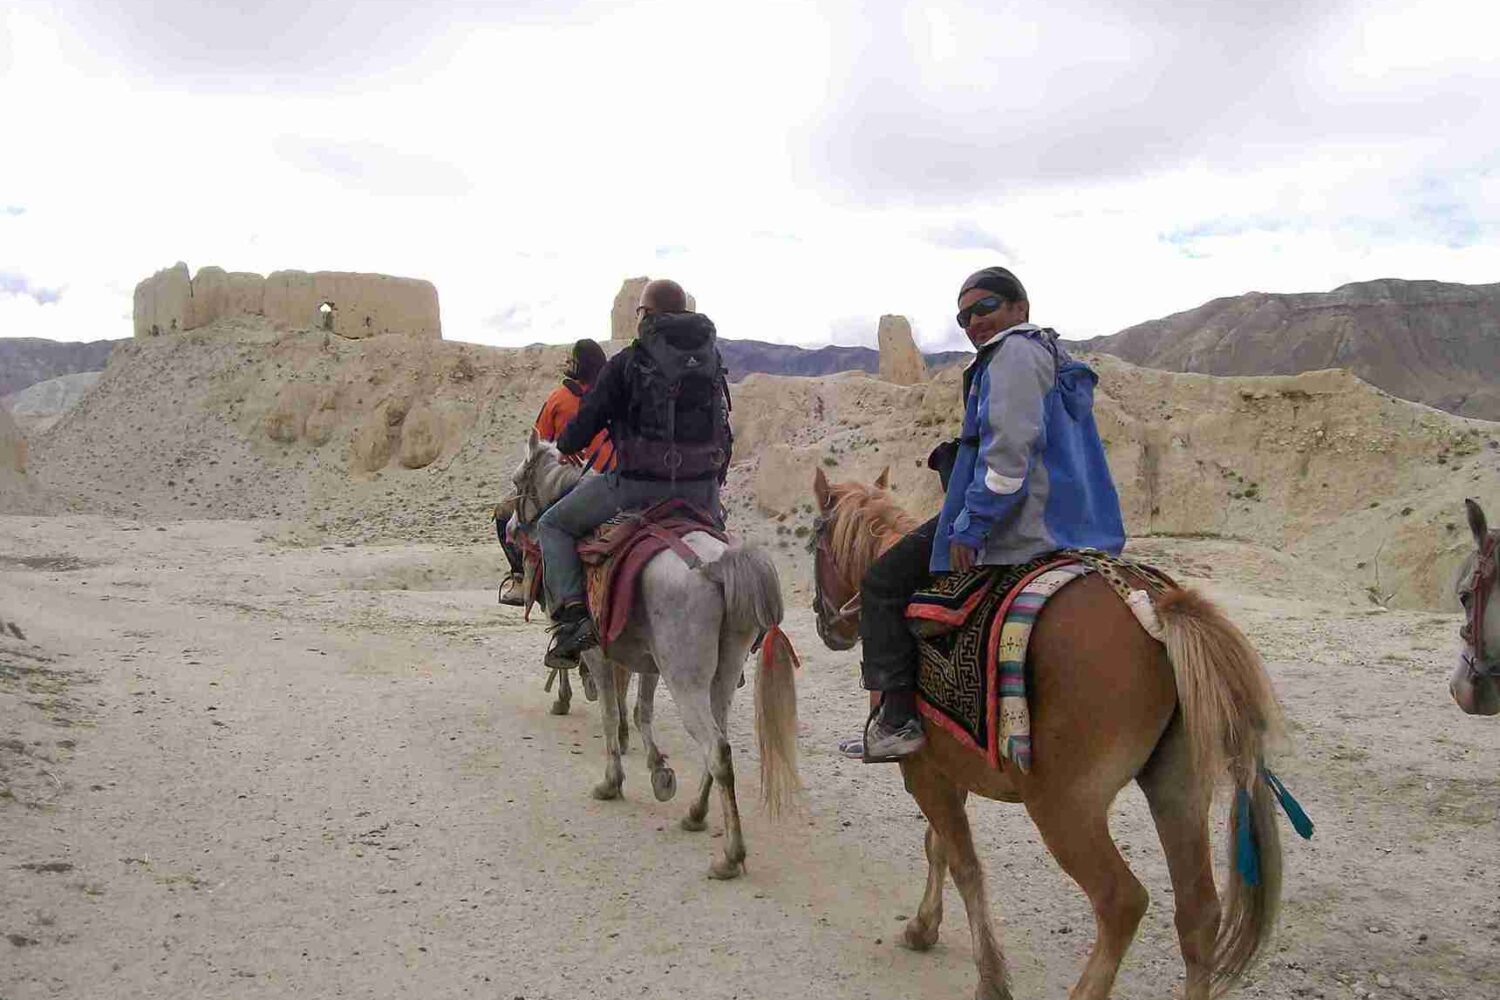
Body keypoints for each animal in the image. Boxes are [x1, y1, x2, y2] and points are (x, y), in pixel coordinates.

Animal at [513, 431, 804, 875]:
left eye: (517, 482)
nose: (512, 527)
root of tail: (718, 566)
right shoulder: (647, 661)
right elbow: (640, 710)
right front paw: (658, 768)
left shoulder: (598, 654)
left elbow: (611, 712)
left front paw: (612, 781)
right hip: (722, 675)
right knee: (718, 743)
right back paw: (696, 813)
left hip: (685, 680)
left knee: (717, 749)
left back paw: (730, 855)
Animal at [810, 470, 1290, 1000]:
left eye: (814, 542)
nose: (826, 623)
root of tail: (1155, 606)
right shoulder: (944, 767)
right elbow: (938, 846)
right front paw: (923, 927)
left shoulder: (921, 769)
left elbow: (964, 863)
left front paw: (991, 978)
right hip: (1177, 791)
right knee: (1199, 914)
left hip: (1065, 809)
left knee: (1121, 902)